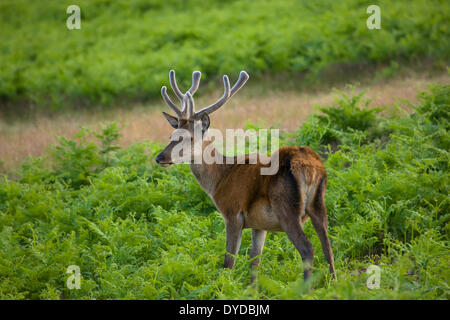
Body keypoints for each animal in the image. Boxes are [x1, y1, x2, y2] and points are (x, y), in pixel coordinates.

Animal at [156, 69, 336, 282]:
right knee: (328, 247)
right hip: (318, 204)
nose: (160, 157)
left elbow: (228, 262)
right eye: (171, 135)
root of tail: (312, 167)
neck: (218, 180)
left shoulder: (232, 213)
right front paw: (252, 287)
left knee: (308, 248)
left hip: (287, 208)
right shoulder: (259, 224)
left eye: (188, 137)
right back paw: (334, 283)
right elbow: (254, 261)